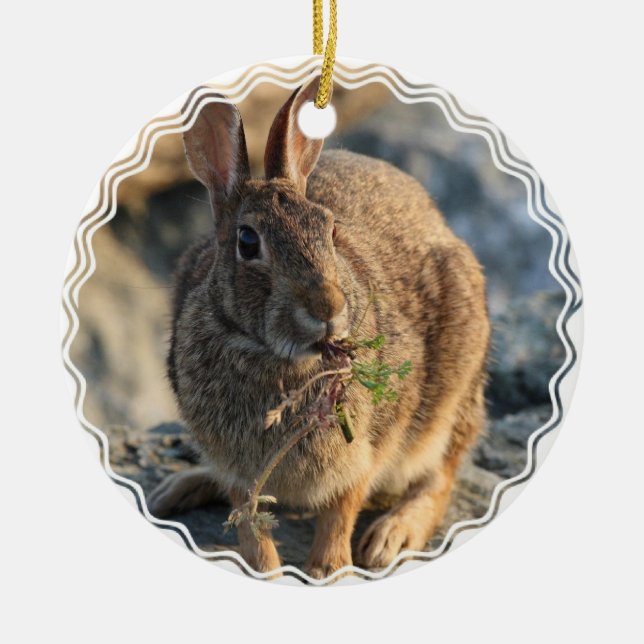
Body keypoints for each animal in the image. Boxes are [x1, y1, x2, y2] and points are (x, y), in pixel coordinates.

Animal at [147, 76, 490, 579]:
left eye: (330, 229)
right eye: (247, 242)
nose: (328, 308)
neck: (276, 357)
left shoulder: (362, 452)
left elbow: (340, 510)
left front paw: (329, 571)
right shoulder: (236, 467)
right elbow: (250, 523)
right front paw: (269, 573)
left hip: (452, 391)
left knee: (440, 475)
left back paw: (390, 537)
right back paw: (175, 490)